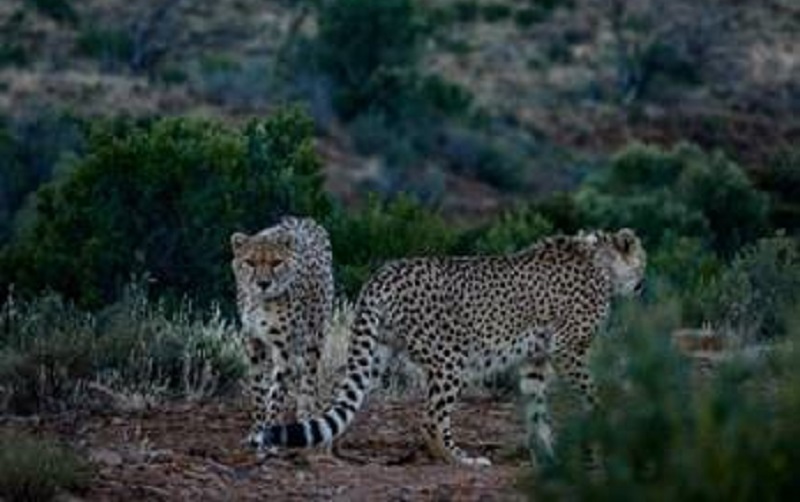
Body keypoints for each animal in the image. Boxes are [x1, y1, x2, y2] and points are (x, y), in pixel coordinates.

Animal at [230, 216, 334, 445]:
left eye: (276, 262)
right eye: (250, 262)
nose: (263, 283)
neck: (261, 303)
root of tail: (301, 220)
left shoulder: (283, 348)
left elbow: (276, 393)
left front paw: (267, 433)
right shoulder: (253, 343)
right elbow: (259, 389)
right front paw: (257, 428)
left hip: (314, 336)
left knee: (308, 379)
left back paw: (305, 415)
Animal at [249, 228, 646, 466]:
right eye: (642, 259)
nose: (644, 282)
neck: (601, 263)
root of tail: (384, 272)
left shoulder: (534, 360)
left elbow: (537, 409)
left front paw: (546, 453)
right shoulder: (567, 349)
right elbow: (592, 392)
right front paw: (601, 425)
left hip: (376, 355)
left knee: (342, 401)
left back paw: (322, 450)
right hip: (450, 360)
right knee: (431, 420)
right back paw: (460, 459)